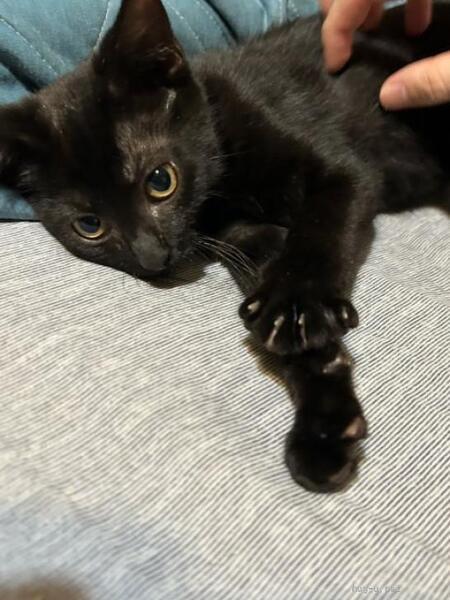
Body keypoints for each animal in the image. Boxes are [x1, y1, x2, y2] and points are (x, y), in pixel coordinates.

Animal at [0, 0, 449, 493]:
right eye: (89, 226)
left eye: (161, 180)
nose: (152, 258)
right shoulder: (246, 242)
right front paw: (325, 427)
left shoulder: (342, 171)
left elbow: (318, 233)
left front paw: (298, 307)